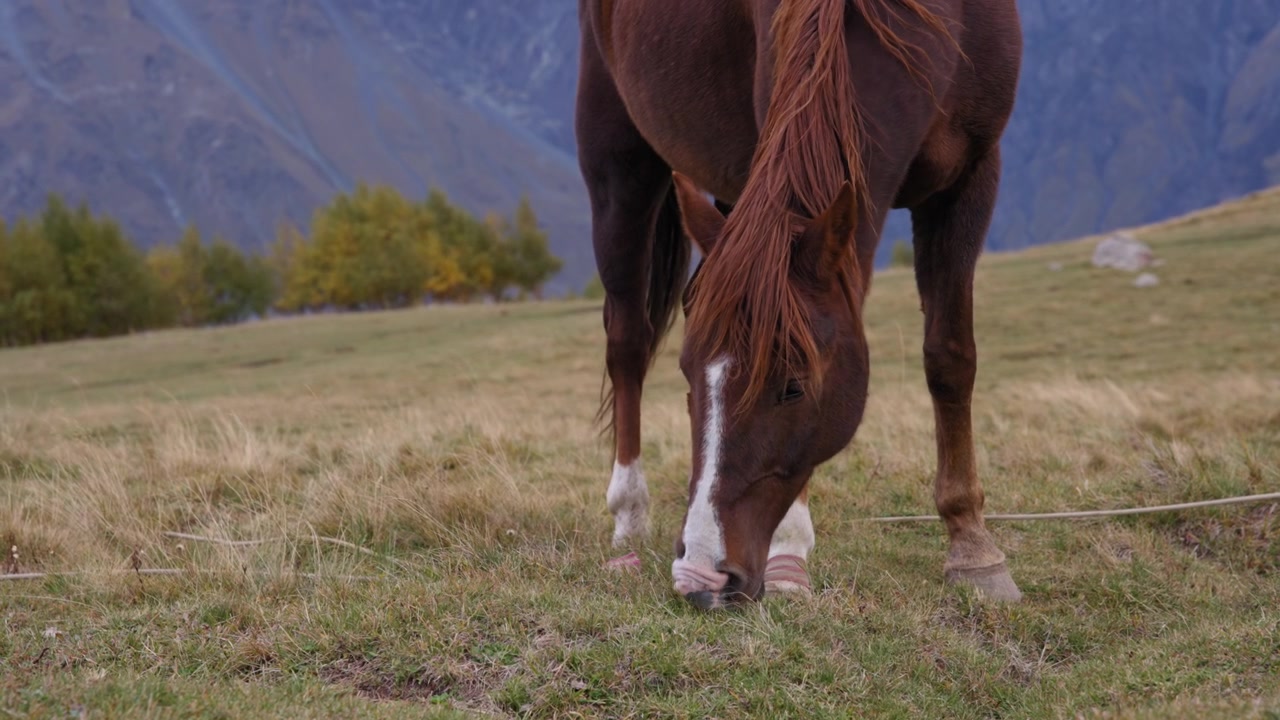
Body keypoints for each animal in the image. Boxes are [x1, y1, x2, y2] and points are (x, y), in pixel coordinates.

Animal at [575, 0, 1024, 608]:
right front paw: (790, 551)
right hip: (618, 167)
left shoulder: (971, 176)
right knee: (626, 343)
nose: (701, 578)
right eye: (688, 377)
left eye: (793, 386)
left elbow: (950, 359)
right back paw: (628, 511)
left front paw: (973, 548)